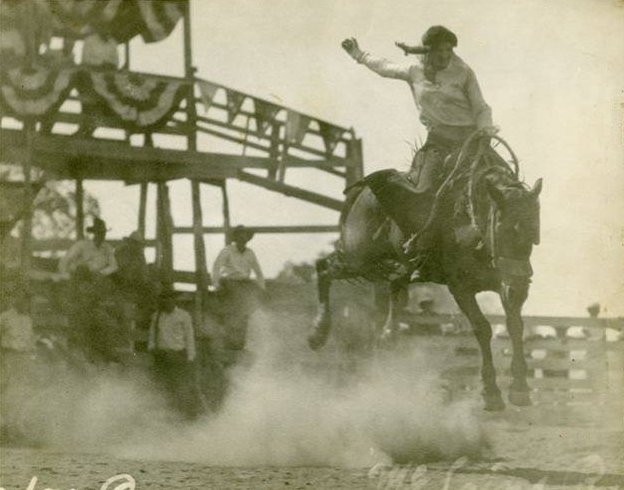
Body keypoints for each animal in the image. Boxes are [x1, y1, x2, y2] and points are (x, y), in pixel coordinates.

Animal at [308, 132, 540, 412]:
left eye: (533, 233)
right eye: (502, 227)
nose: (519, 287)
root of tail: (361, 191)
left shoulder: (504, 282)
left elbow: (515, 325)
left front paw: (520, 389)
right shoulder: (461, 288)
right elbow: (482, 328)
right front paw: (492, 393)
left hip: (387, 267)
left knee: (392, 298)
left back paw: (386, 346)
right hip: (358, 257)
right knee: (323, 268)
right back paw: (317, 334)